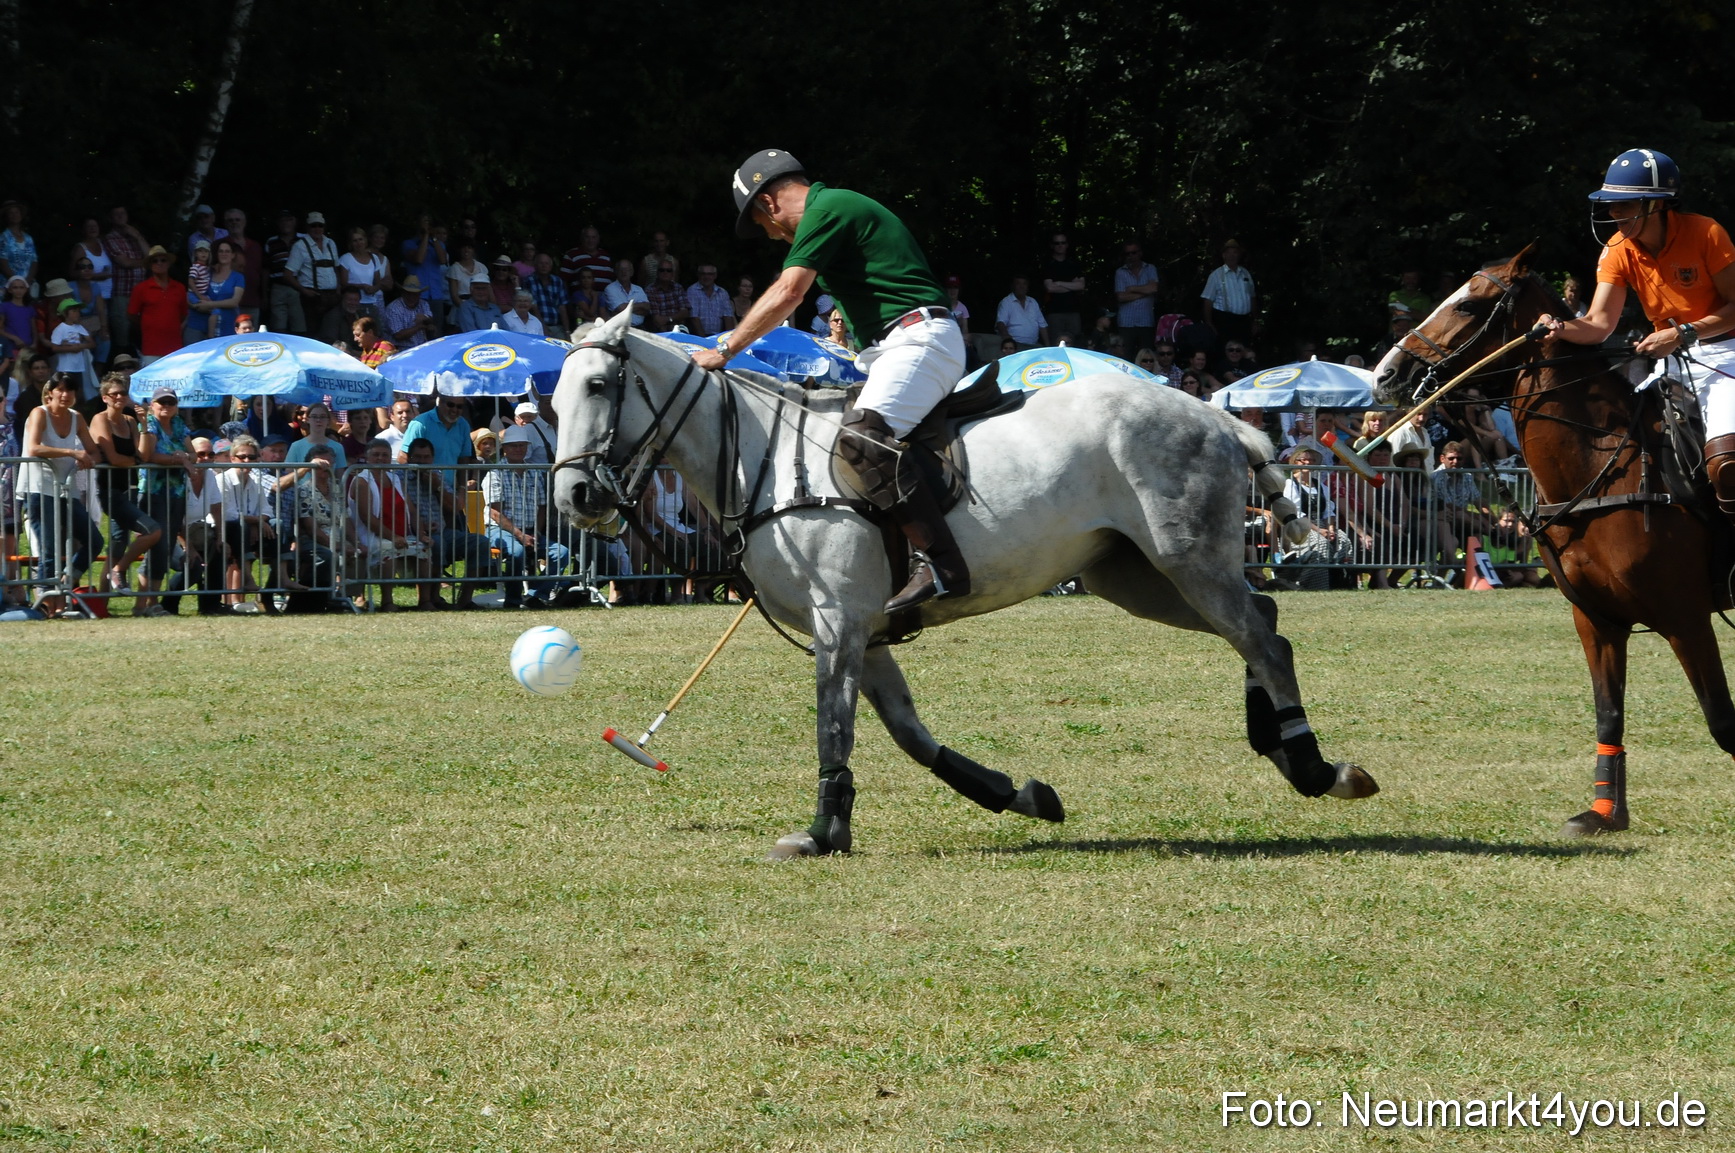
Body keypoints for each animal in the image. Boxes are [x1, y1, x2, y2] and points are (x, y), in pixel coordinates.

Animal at [553, 307, 1379, 858]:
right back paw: (1278, 744)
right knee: (1263, 618)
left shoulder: (837, 616)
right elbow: (909, 734)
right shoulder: (862, 626)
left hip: (1184, 559)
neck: (761, 458)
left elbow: (833, 724)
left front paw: (821, 831)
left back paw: (1315, 768)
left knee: (1260, 635)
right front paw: (1021, 795)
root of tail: (1219, 416)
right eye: (550, 400)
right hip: (1133, 574)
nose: (575, 497)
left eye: (598, 384)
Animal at [1374, 246, 1735, 835]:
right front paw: (1603, 813)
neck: (1603, 464)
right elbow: (1609, 713)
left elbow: (1722, 719)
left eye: (1470, 304)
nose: (1385, 374)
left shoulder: (1685, 617)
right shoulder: (1596, 618)